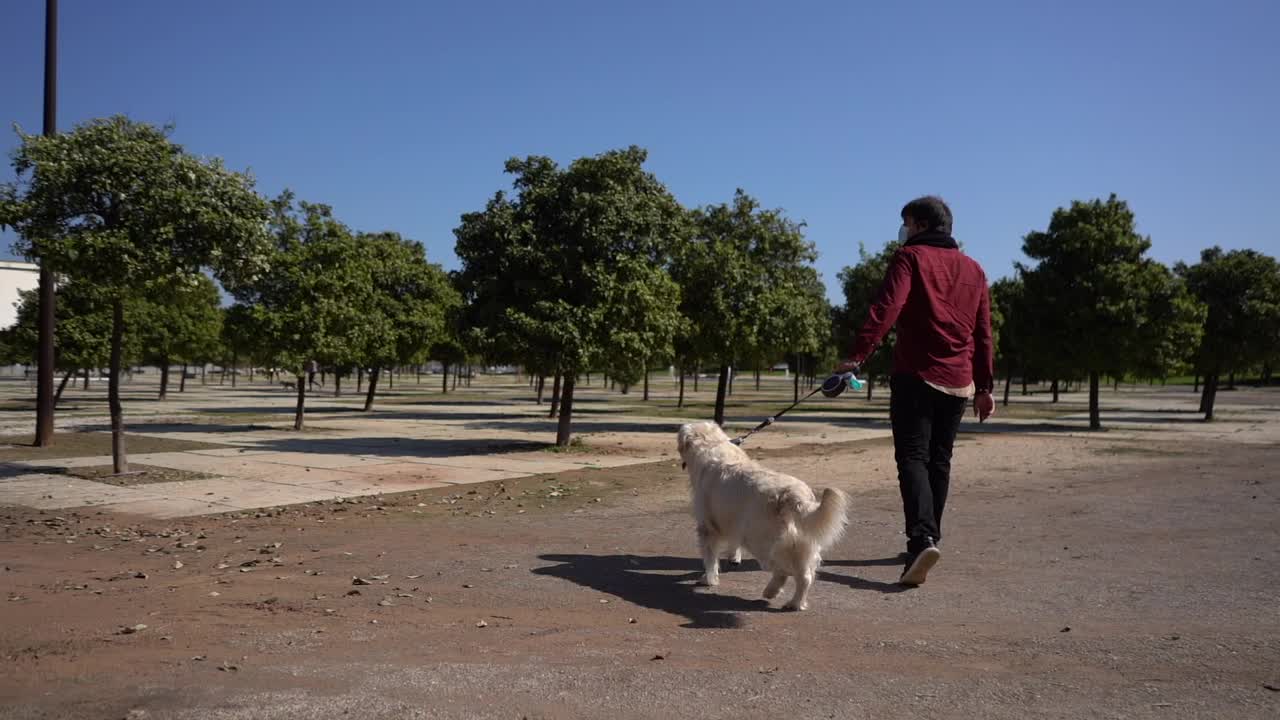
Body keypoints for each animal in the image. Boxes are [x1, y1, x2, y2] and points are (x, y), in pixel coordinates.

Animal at [680, 420, 849, 609]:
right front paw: (733, 558)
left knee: (783, 571)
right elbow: (733, 544)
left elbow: (709, 557)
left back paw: (771, 591)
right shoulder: (733, 523)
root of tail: (792, 495)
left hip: (761, 542)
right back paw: (794, 603)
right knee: (805, 576)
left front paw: (708, 579)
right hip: (802, 544)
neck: (712, 444)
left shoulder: (707, 528)